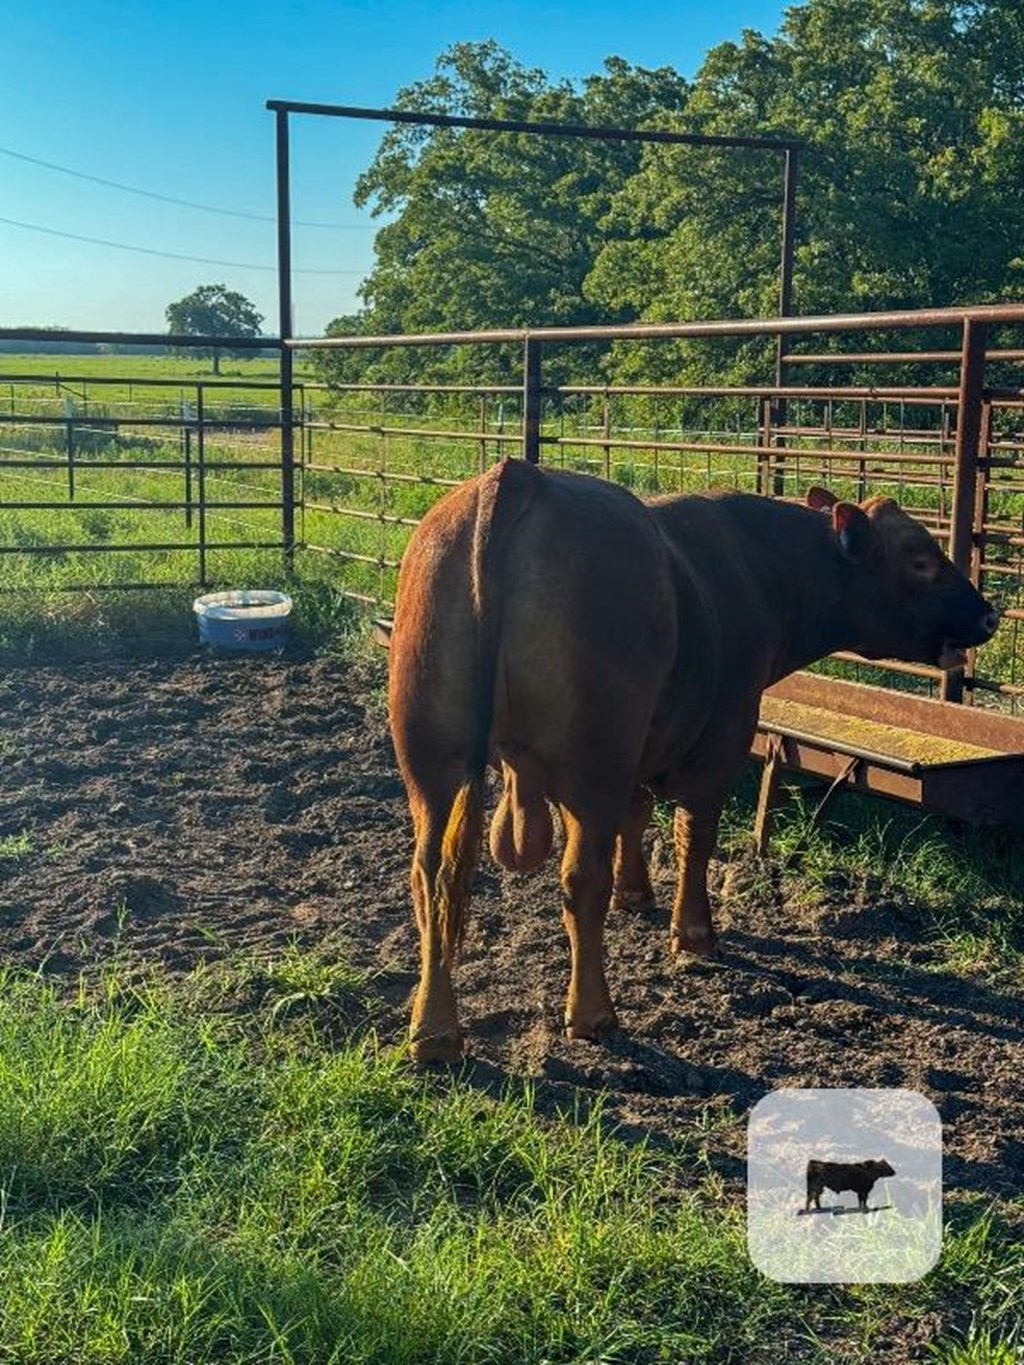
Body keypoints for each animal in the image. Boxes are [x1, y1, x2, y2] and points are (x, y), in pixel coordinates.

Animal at [387, 464, 999, 1059]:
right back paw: (592, 1014)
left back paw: (433, 1031)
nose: (989, 614)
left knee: (432, 876)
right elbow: (693, 837)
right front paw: (694, 932)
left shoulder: (640, 745)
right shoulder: (721, 741)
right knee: (580, 879)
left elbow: (636, 817)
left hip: (433, 764)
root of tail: (515, 476)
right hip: (592, 767)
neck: (755, 568)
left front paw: (635, 893)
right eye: (921, 560)